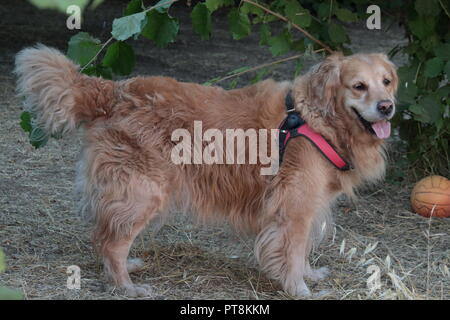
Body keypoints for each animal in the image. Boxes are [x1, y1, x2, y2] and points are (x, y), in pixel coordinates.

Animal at [14, 45, 398, 298]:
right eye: (358, 86)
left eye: (387, 81)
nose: (387, 107)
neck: (317, 117)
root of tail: (113, 90)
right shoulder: (294, 207)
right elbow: (291, 251)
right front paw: (299, 288)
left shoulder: (307, 206)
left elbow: (301, 251)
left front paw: (308, 275)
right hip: (142, 193)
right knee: (110, 242)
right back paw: (127, 286)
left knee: (104, 234)